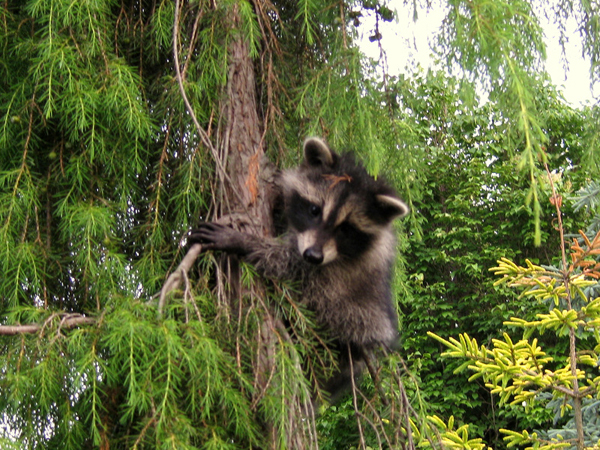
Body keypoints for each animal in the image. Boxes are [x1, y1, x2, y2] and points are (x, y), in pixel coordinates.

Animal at [190, 137, 410, 400]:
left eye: (346, 229)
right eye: (314, 210)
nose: (313, 255)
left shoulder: (342, 274)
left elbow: (291, 267)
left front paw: (243, 241)